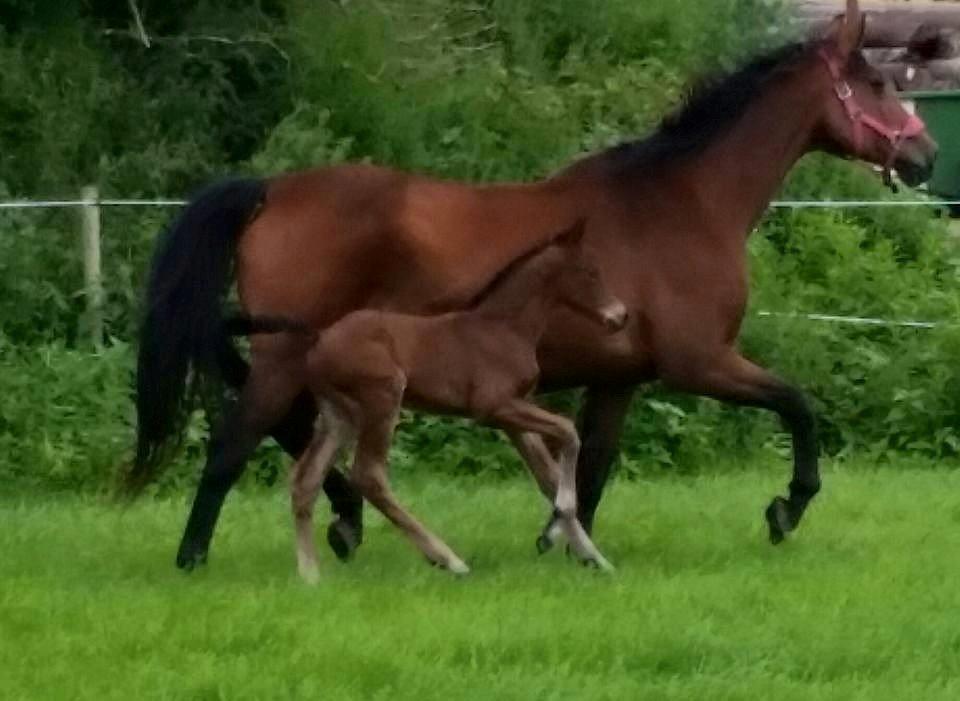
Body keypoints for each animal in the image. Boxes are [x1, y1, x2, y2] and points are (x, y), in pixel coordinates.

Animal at [266, 220, 628, 580]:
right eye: (590, 271)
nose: (620, 316)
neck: (506, 329)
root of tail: (318, 341)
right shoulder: (493, 406)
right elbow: (568, 431)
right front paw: (563, 522)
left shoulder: (512, 414)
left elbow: (547, 473)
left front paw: (590, 555)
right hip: (383, 397)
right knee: (369, 475)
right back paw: (449, 560)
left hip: (339, 414)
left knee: (305, 479)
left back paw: (310, 573)